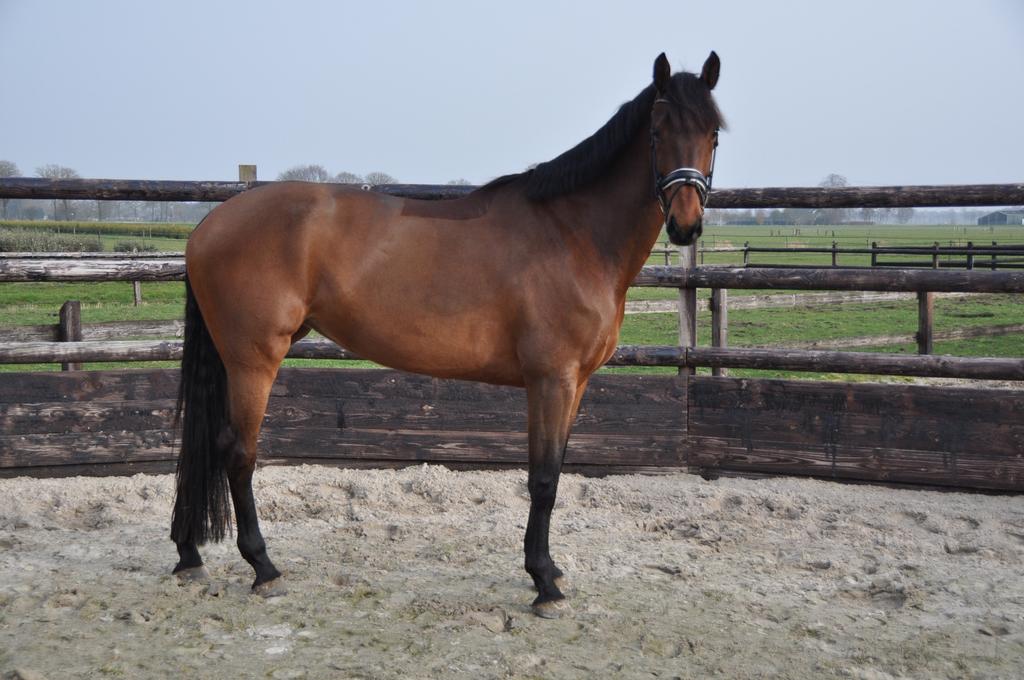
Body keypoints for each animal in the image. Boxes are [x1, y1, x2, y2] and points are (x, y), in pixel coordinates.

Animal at [170, 51, 723, 618]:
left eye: (713, 134)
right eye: (657, 130)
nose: (685, 225)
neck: (573, 235)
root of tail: (208, 225)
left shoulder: (577, 384)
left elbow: (554, 470)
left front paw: (546, 570)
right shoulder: (551, 380)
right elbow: (543, 478)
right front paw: (543, 582)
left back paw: (190, 555)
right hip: (253, 359)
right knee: (238, 452)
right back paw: (263, 568)